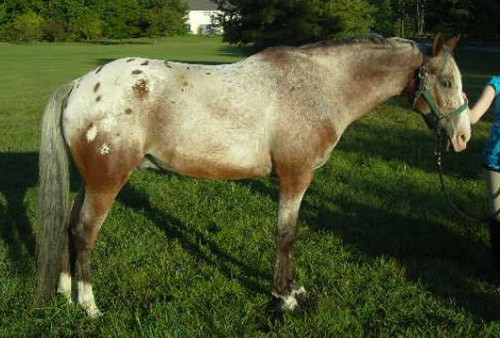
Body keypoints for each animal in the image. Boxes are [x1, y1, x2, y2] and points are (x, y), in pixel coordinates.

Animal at [37, 33, 470, 316]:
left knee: (67, 225)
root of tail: (80, 84)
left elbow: (290, 235)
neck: (319, 86)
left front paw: (293, 288)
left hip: (89, 183)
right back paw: (89, 306)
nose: (463, 136)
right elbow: (286, 235)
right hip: (106, 183)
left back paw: (64, 292)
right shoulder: (295, 176)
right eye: (446, 81)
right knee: (84, 233)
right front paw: (286, 297)